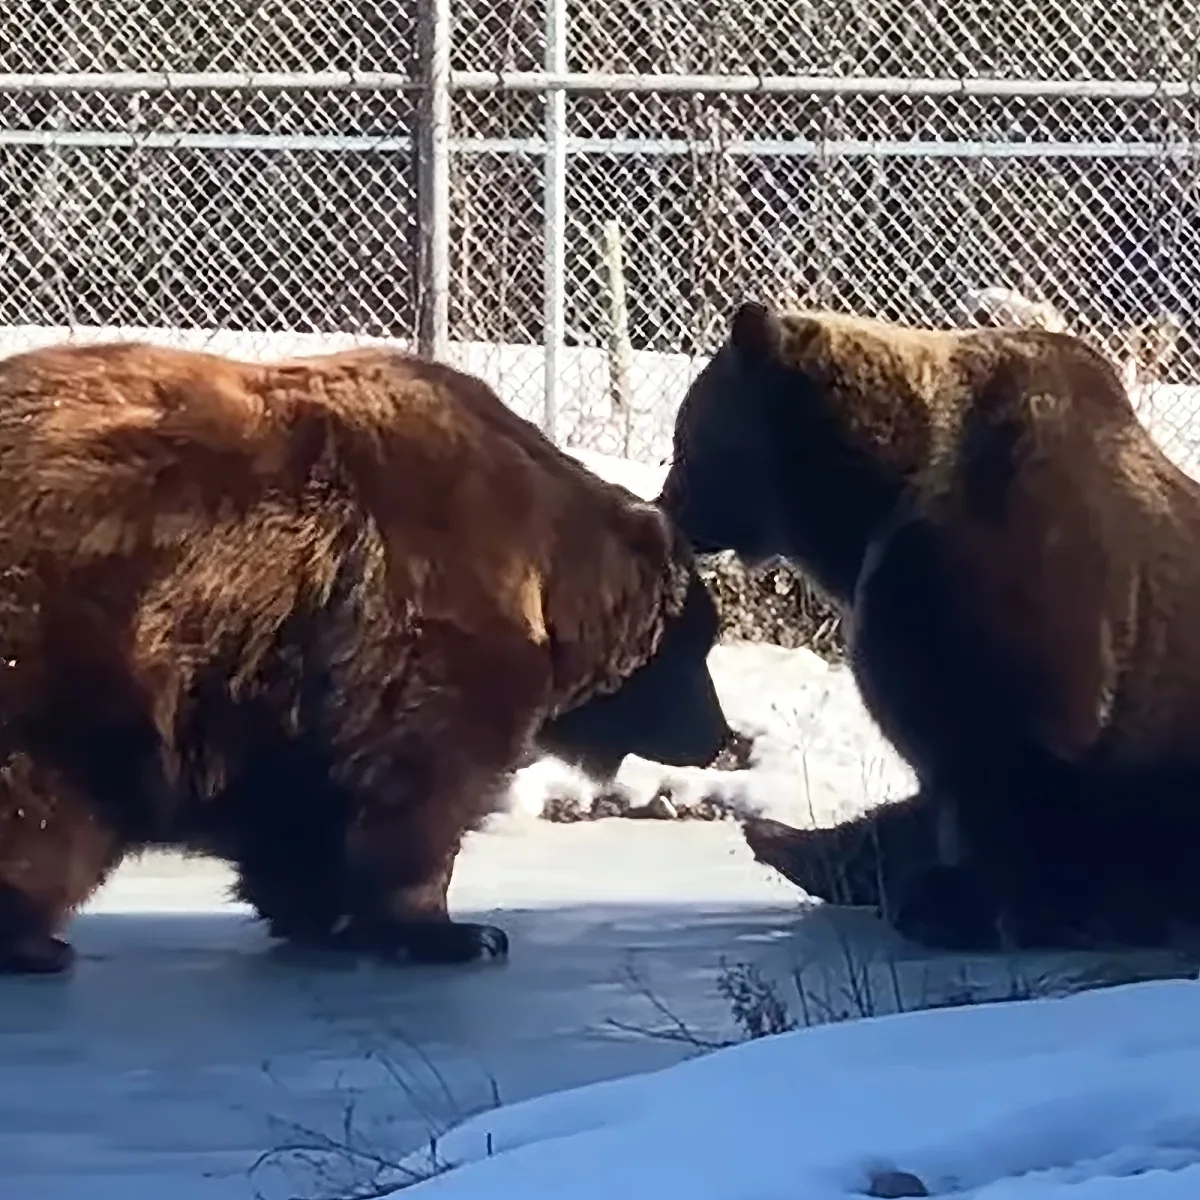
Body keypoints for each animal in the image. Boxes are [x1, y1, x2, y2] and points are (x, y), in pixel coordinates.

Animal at [0, 338, 733, 976]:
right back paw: (35, 940)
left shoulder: (281, 682)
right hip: (72, 645)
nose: (717, 735)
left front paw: (316, 911)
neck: (551, 582)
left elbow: (301, 804)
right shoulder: (422, 617)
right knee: (46, 797)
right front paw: (458, 932)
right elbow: (419, 779)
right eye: (697, 648)